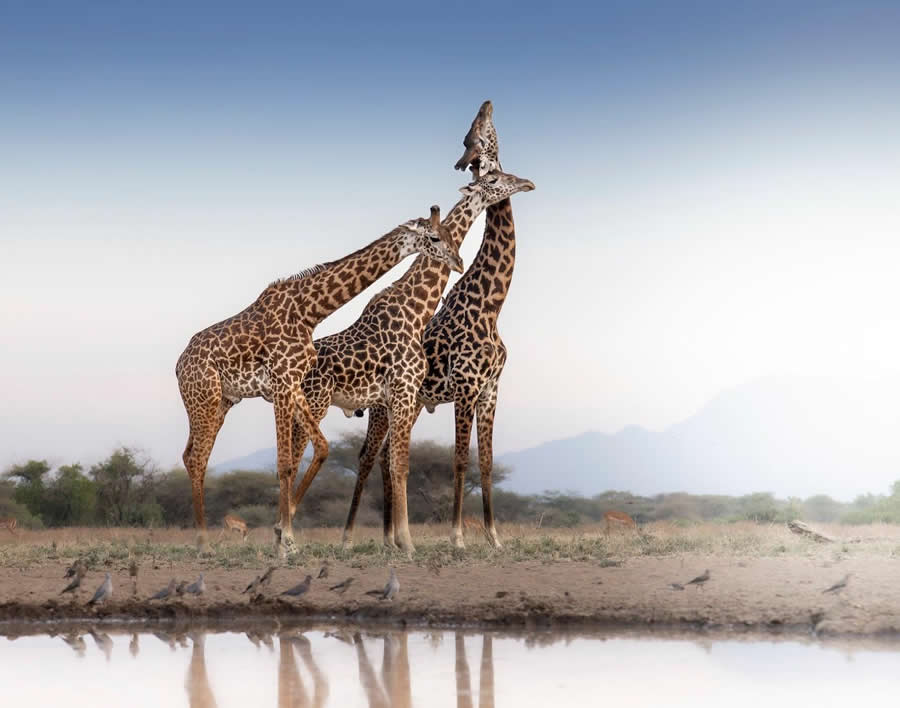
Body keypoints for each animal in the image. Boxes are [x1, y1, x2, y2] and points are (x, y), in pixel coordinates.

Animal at [175, 207, 464, 555]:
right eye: (434, 237)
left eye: (449, 235)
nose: (459, 261)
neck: (310, 311)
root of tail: (179, 365)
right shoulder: (281, 381)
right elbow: (284, 462)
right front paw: (285, 541)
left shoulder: (293, 383)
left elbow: (322, 447)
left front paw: (285, 534)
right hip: (203, 397)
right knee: (197, 458)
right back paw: (203, 544)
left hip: (222, 402)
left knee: (194, 456)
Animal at [343, 101, 521, 549]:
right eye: (474, 134)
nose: (529, 182)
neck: (490, 308)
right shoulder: (466, 387)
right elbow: (459, 462)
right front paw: (457, 537)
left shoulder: (491, 390)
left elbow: (486, 463)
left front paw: (494, 537)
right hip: (382, 406)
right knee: (370, 457)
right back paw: (356, 536)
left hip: (404, 406)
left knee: (387, 458)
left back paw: (390, 536)